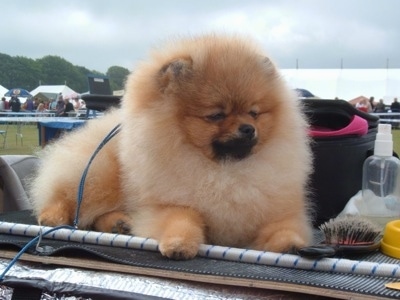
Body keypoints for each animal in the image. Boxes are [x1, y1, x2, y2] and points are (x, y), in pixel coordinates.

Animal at [29, 32, 314, 258]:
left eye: (254, 113)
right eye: (216, 115)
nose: (248, 129)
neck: (224, 170)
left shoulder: (274, 210)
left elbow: (283, 227)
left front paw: (291, 244)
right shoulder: (166, 204)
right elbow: (180, 219)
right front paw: (179, 243)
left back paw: (119, 223)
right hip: (99, 173)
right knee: (65, 193)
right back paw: (54, 215)